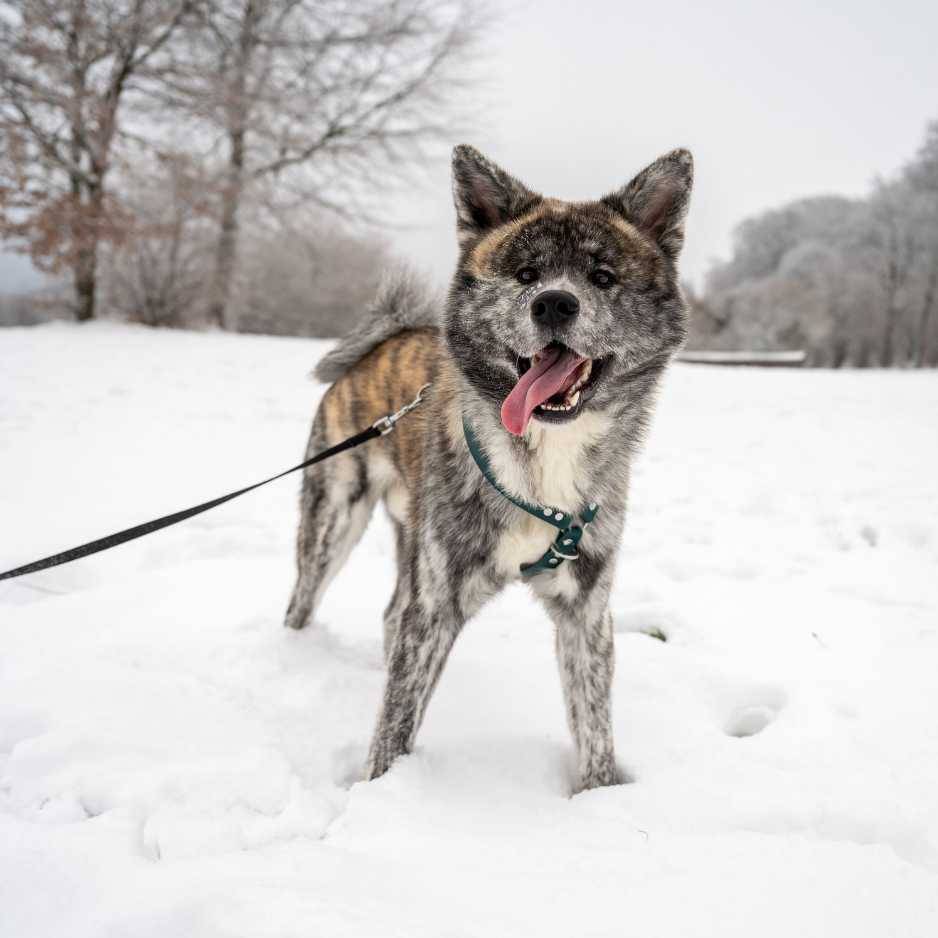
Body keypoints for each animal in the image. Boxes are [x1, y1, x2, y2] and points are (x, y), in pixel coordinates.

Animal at [282, 144, 692, 788]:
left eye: (603, 277)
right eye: (526, 275)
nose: (555, 302)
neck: (543, 458)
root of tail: (382, 340)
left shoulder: (586, 612)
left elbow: (595, 731)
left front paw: (600, 799)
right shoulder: (436, 606)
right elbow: (395, 726)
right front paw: (381, 792)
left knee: (391, 614)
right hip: (334, 519)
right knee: (305, 596)